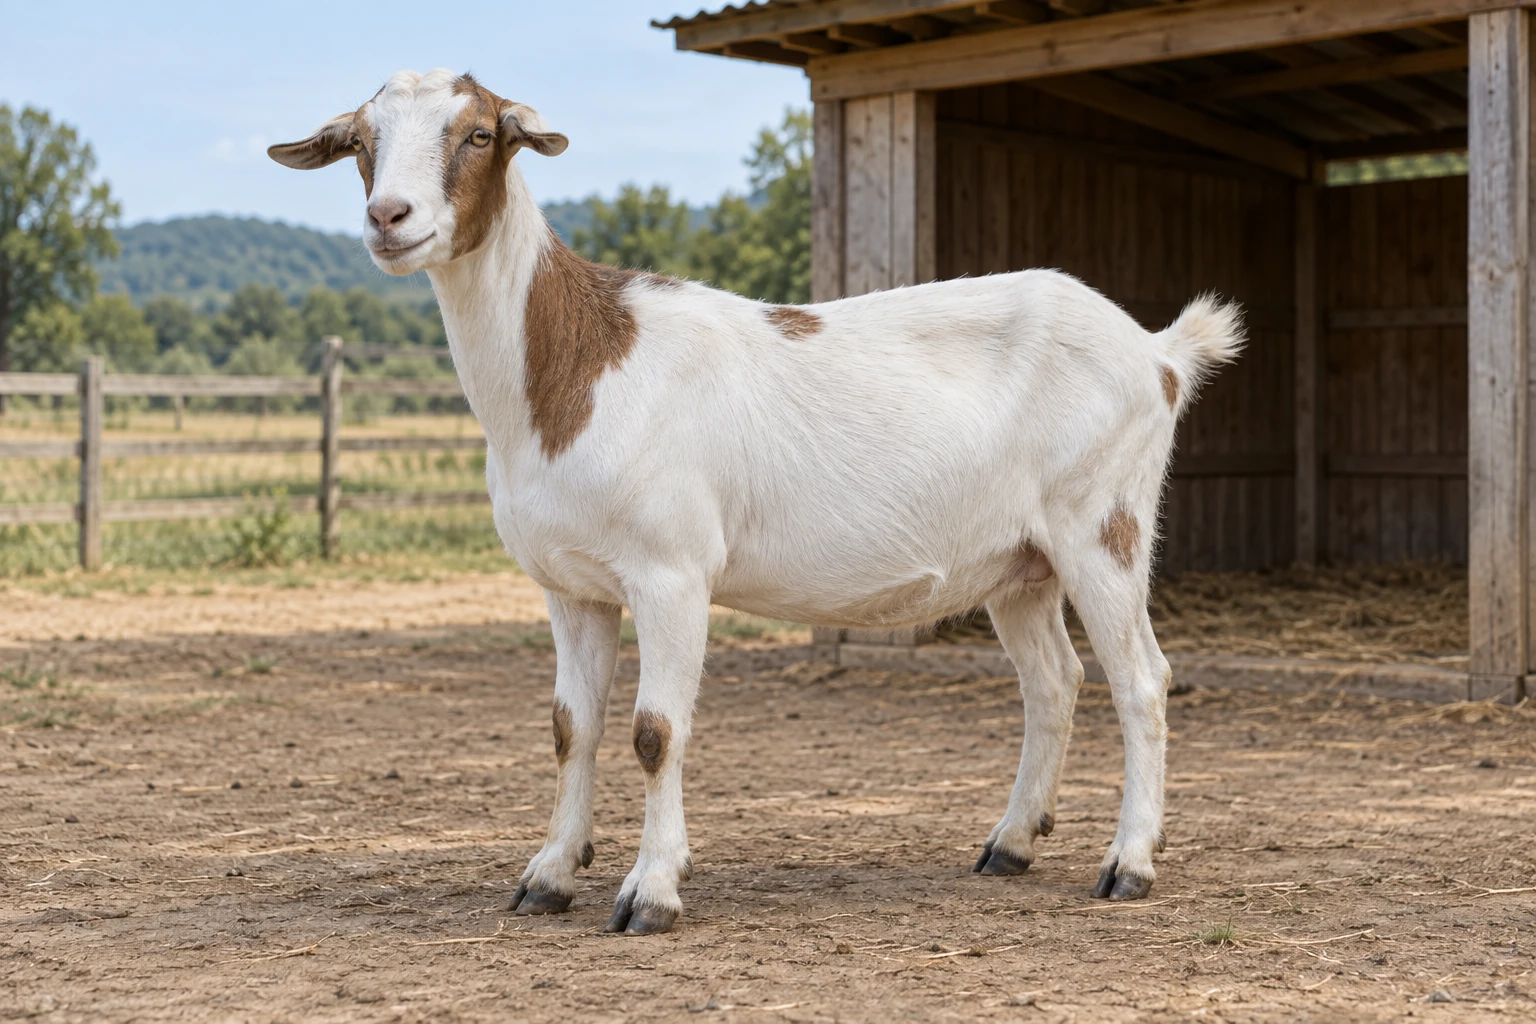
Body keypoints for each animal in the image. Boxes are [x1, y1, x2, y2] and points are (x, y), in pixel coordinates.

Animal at [270, 69, 1243, 935]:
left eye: (477, 134)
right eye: (361, 141)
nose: (389, 219)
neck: (573, 370)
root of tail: (1159, 353)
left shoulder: (670, 571)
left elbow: (654, 731)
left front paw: (651, 892)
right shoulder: (571, 585)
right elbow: (569, 727)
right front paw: (548, 876)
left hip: (1103, 522)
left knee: (1141, 682)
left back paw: (1129, 865)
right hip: (1021, 563)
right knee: (1054, 682)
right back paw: (1010, 844)